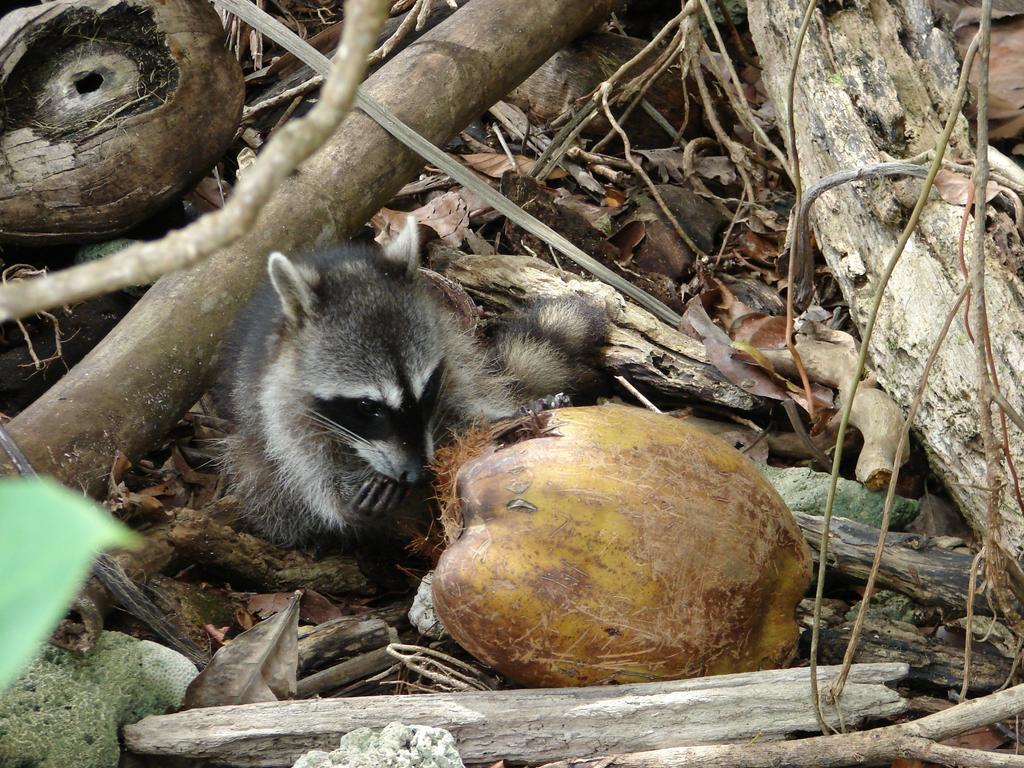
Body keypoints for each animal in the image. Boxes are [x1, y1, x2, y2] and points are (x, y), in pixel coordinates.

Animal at [217, 219, 606, 548]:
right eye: (366, 407)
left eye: (427, 389)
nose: (418, 474)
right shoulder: (277, 397)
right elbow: (301, 462)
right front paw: (337, 500)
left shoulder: (451, 351)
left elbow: (469, 400)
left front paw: (500, 418)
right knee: (259, 477)